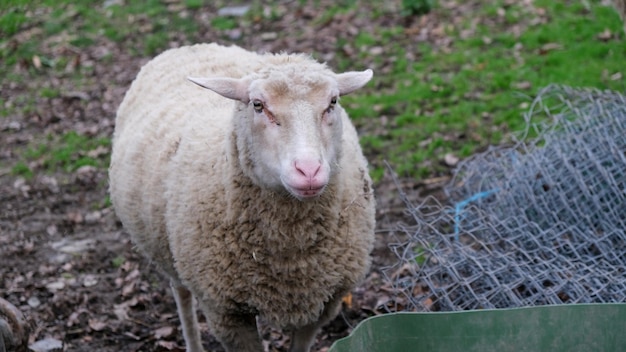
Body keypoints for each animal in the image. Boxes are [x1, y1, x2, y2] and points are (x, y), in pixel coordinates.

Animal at [107, 43, 372, 352]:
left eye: (332, 102)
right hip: (170, 255)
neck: (290, 255)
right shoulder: (226, 313)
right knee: (181, 294)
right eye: (257, 105)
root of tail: (190, 46)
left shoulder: (323, 304)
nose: (309, 171)